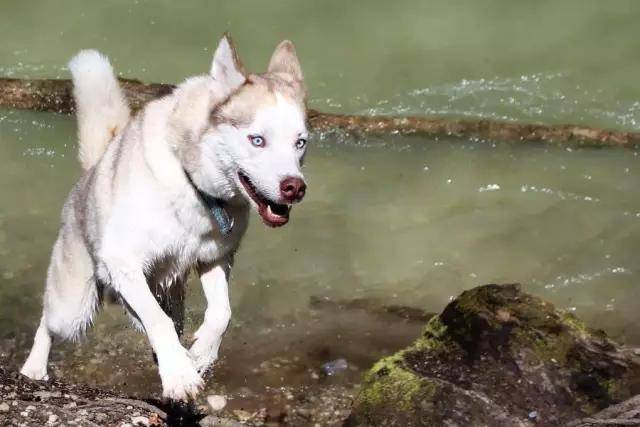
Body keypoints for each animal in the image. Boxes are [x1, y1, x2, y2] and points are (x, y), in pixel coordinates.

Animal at [18, 36, 308, 402]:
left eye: (300, 143)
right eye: (257, 139)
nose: (295, 188)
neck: (194, 185)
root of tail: (93, 168)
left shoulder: (215, 258)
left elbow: (222, 313)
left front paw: (200, 356)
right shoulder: (124, 262)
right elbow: (158, 322)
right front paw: (180, 377)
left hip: (166, 291)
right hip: (73, 307)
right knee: (49, 320)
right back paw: (34, 368)